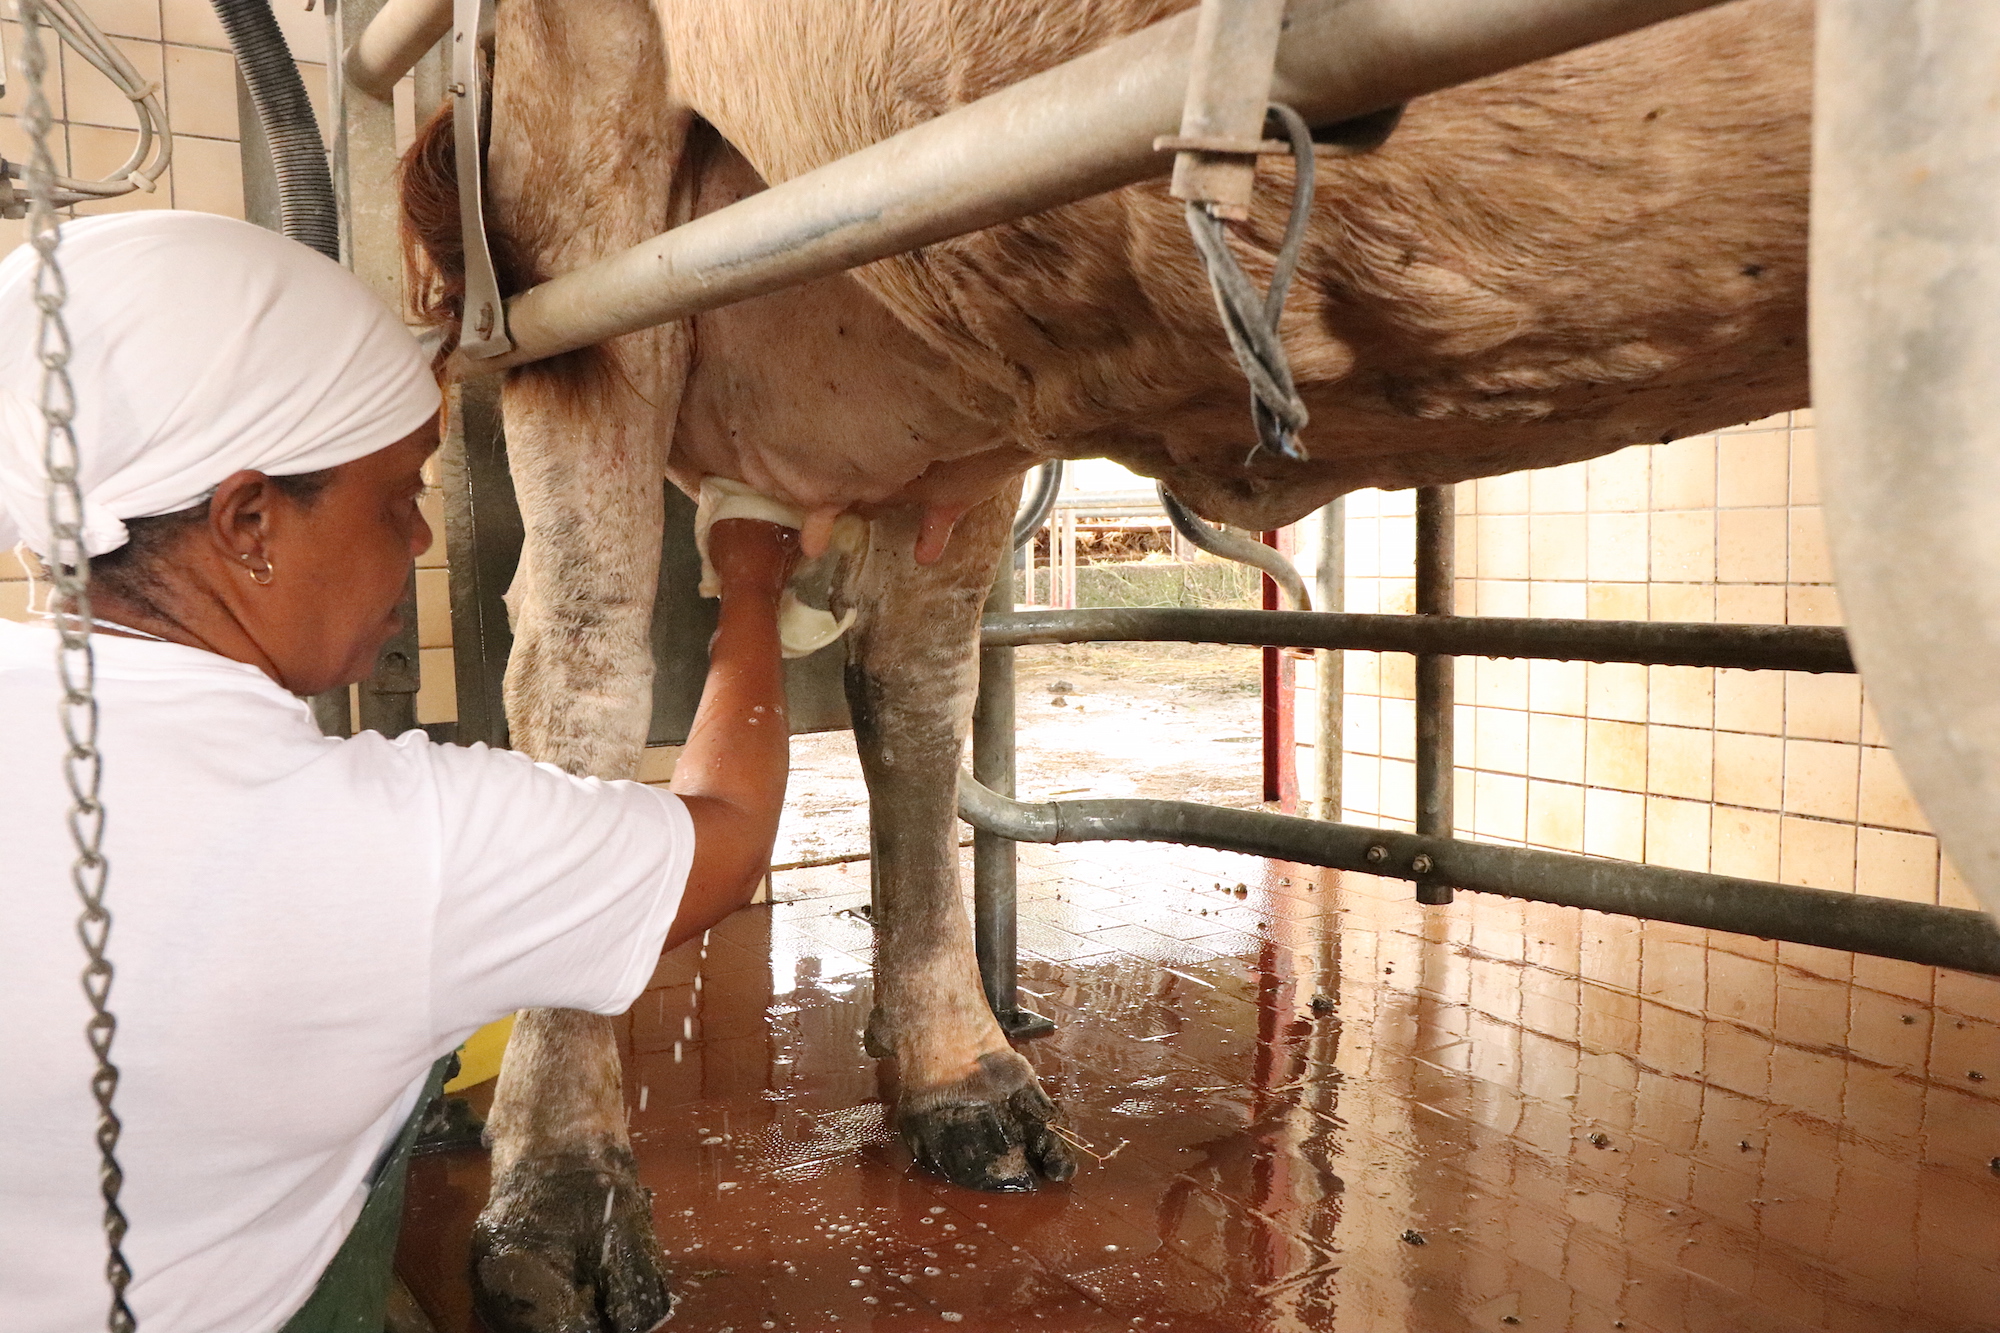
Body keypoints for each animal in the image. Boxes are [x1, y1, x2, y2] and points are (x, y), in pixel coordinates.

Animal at [402, 2, 1816, 1320]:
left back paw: (962, 1076)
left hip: (945, 365)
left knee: (915, 676)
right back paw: (559, 1202)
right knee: (581, 655)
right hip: (576, 213)